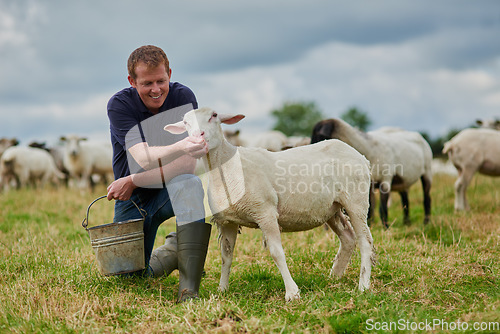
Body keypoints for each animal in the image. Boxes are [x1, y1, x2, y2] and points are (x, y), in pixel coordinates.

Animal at [165, 107, 376, 302]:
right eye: (186, 122)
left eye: (214, 115)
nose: (197, 136)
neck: (226, 168)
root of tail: (360, 156)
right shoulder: (227, 221)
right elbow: (226, 256)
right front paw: (222, 290)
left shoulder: (265, 213)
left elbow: (276, 253)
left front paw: (292, 293)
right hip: (331, 207)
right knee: (348, 237)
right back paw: (334, 277)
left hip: (356, 200)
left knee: (365, 241)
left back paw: (363, 285)